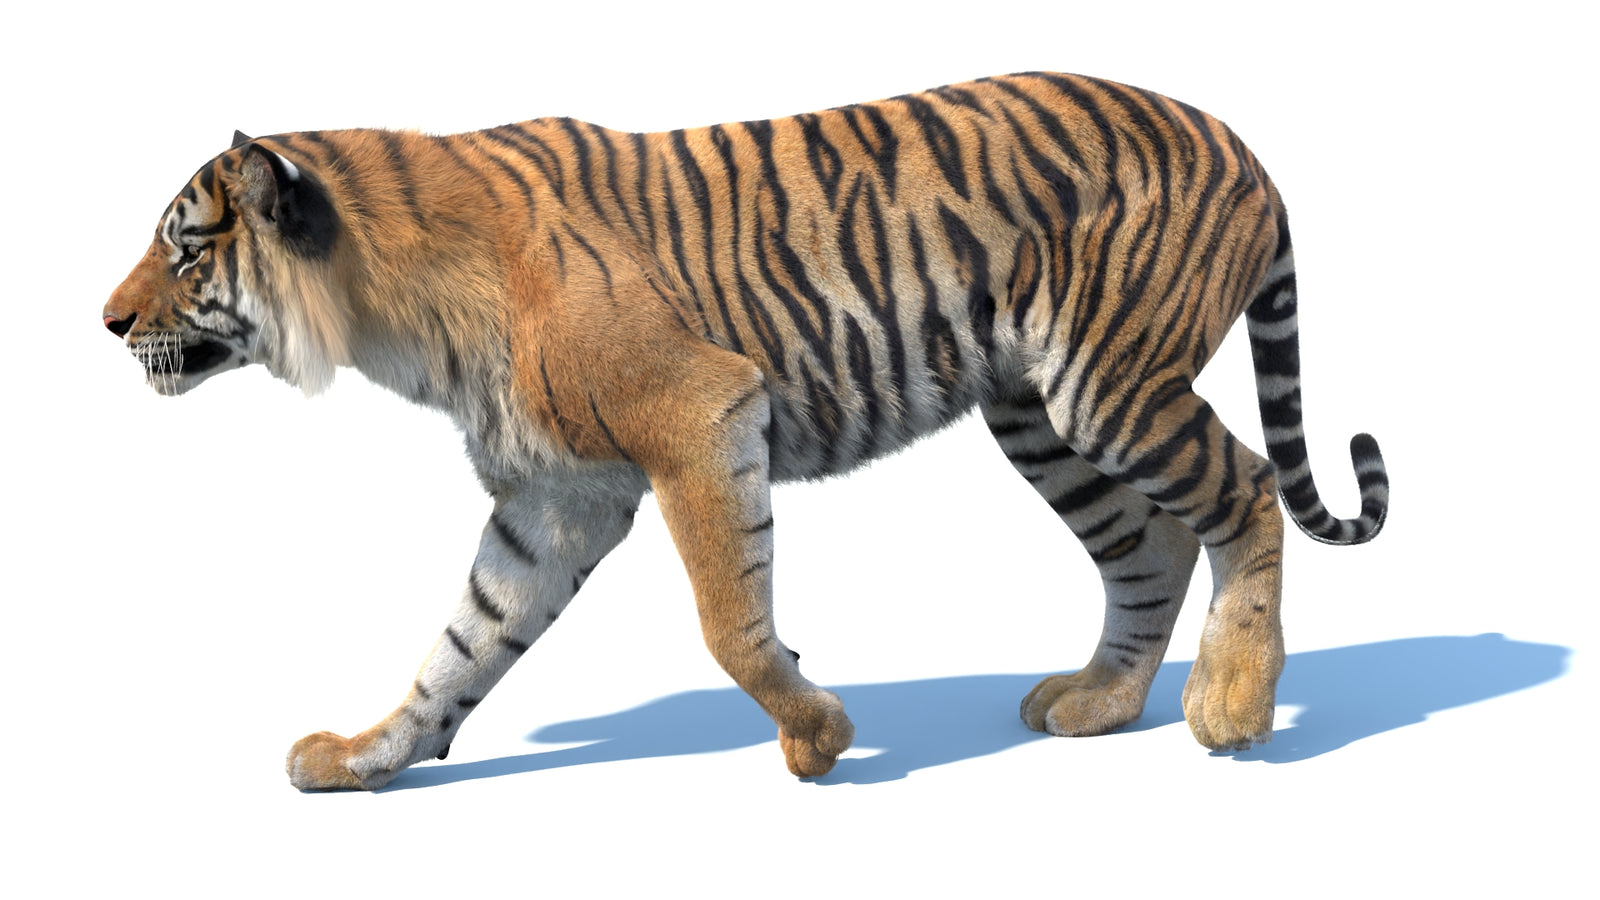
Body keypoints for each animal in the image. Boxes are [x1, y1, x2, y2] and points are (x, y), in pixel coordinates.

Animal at [102, 72, 1388, 790]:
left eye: (185, 247)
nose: (106, 322)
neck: (385, 310)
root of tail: (1239, 140)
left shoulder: (700, 415)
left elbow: (729, 619)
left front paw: (817, 738)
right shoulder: (553, 495)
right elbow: (464, 642)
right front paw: (368, 758)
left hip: (1107, 385)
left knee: (1245, 490)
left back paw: (1232, 709)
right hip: (1037, 412)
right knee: (1151, 543)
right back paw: (1098, 704)